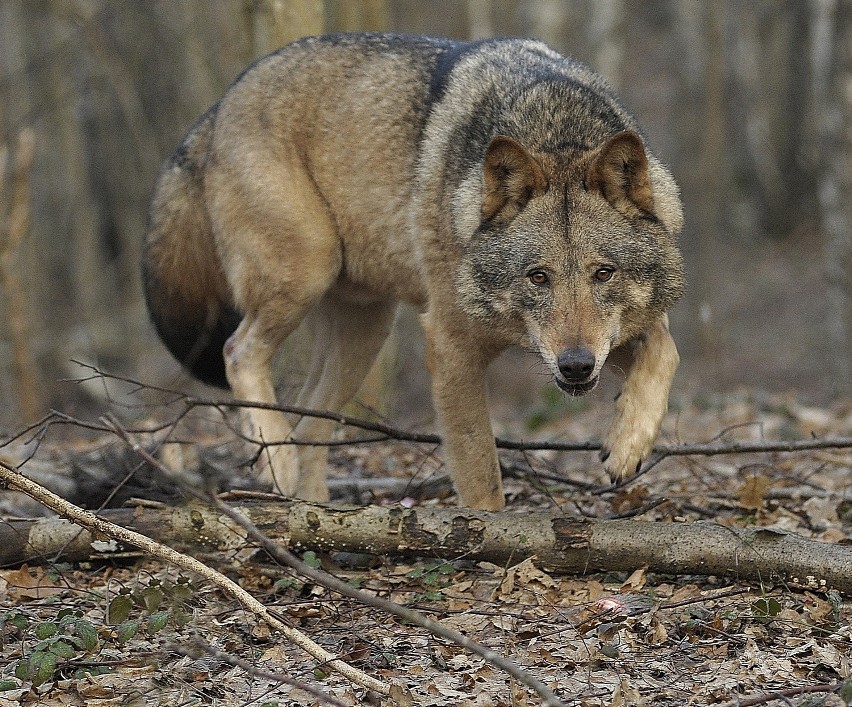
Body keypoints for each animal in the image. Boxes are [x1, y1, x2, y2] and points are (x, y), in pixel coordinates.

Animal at [141, 33, 684, 508]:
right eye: (538, 277)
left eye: (603, 274)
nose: (575, 367)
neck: (555, 129)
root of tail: (218, 106)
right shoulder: (451, 347)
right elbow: (481, 475)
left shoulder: (603, 339)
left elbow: (665, 348)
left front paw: (629, 444)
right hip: (307, 270)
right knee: (239, 351)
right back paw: (275, 460)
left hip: (365, 334)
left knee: (310, 428)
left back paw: (315, 515)